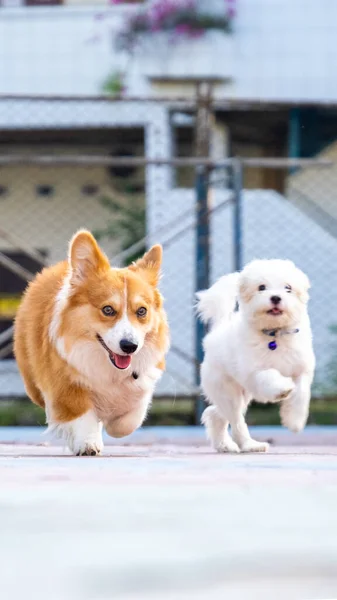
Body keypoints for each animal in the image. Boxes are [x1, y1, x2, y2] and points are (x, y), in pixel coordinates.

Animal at [197, 260, 316, 452]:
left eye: (288, 288)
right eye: (261, 287)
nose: (275, 298)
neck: (274, 333)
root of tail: (217, 331)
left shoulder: (302, 370)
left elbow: (301, 394)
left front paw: (294, 421)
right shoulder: (255, 372)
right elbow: (270, 376)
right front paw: (283, 389)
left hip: (240, 394)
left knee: (216, 414)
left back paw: (224, 445)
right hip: (228, 391)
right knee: (236, 420)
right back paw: (249, 445)